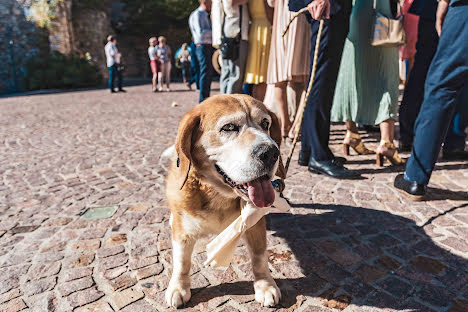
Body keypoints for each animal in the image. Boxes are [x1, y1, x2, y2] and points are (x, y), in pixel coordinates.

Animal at [166, 94, 288, 308]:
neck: (219, 196)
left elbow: (259, 258)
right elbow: (182, 261)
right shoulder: (183, 232)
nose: (271, 153)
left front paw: (264, 284)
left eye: (266, 123)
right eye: (229, 127)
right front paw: (178, 287)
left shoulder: (255, 224)